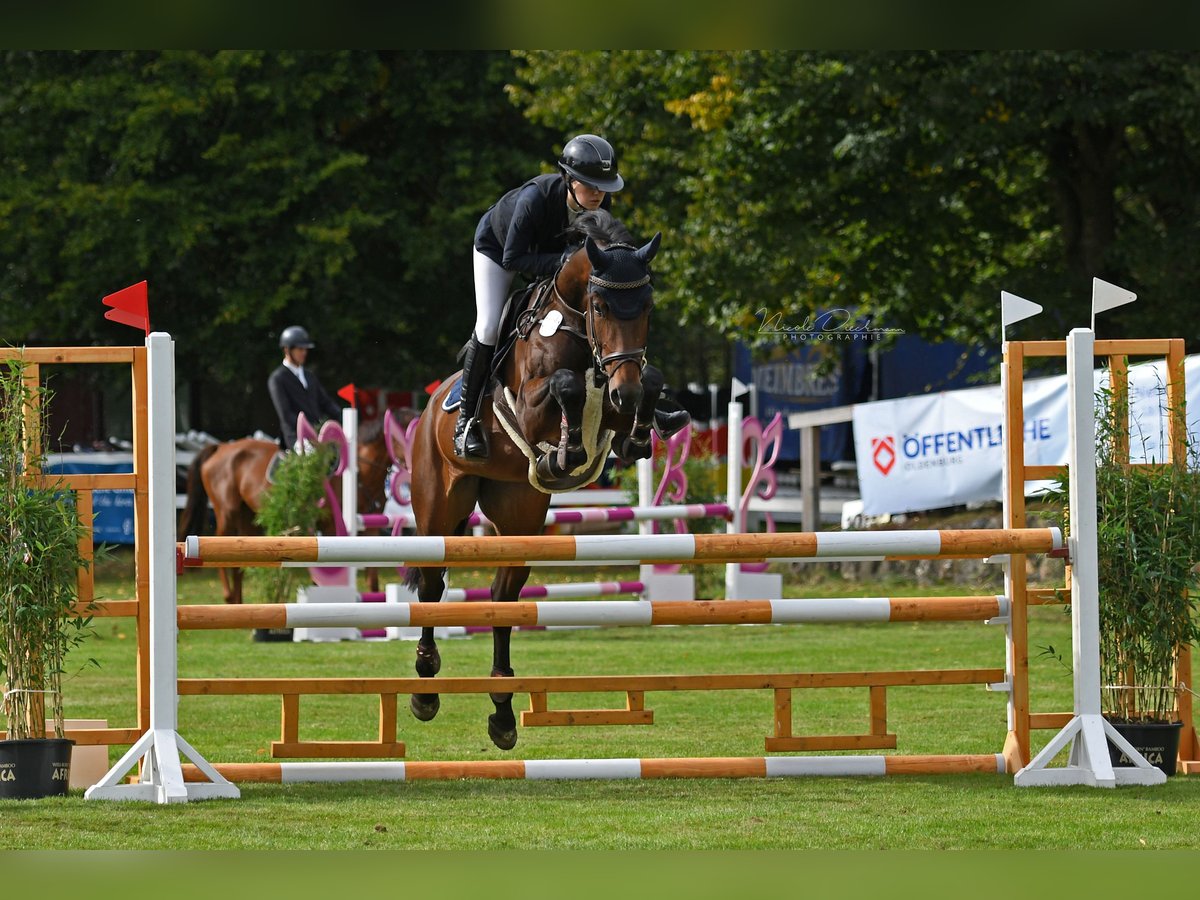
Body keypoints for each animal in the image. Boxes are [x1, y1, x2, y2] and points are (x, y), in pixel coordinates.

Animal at [177, 417, 393, 607]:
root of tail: (221, 447)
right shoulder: (330, 523)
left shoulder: (370, 526)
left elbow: (372, 573)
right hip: (227, 512)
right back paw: (229, 597)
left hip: (247, 517)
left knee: (238, 559)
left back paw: (238, 604)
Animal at [408, 207, 676, 748]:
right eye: (600, 305)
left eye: (647, 306)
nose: (623, 390)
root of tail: (428, 408)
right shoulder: (532, 408)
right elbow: (566, 384)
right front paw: (567, 449)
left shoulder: (619, 395)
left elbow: (650, 383)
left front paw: (636, 435)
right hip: (437, 508)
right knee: (430, 585)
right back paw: (425, 688)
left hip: (520, 514)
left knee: (503, 598)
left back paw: (503, 711)